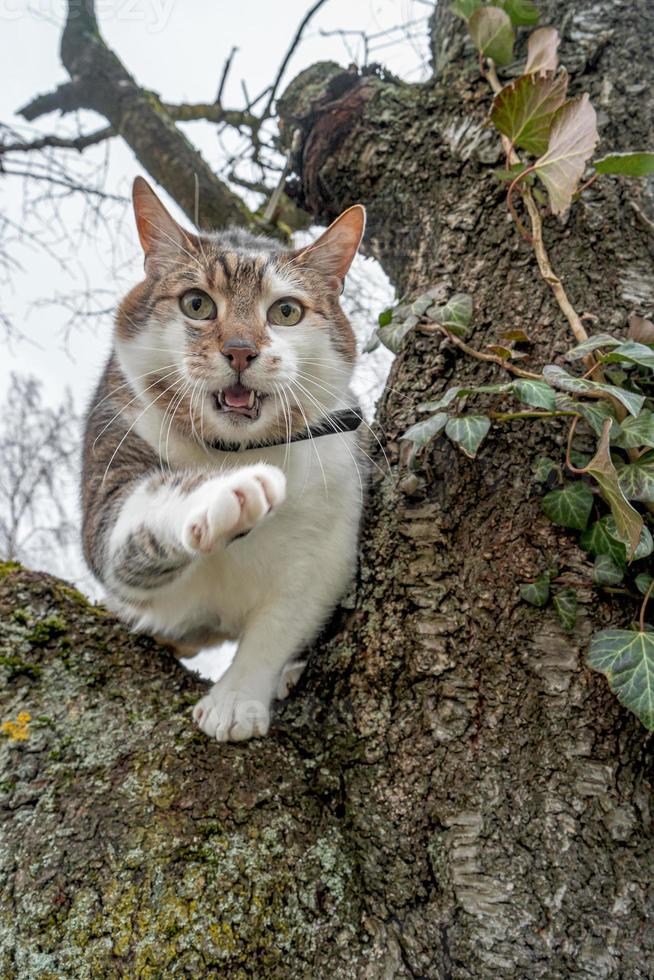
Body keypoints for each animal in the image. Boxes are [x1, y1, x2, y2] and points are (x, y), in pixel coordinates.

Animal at [80, 178, 368, 744]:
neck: (234, 448)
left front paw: (236, 701)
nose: (239, 350)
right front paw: (226, 495)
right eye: (197, 304)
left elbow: (279, 624)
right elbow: (135, 520)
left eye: (286, 311)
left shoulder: (327, 544)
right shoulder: (112, 463)